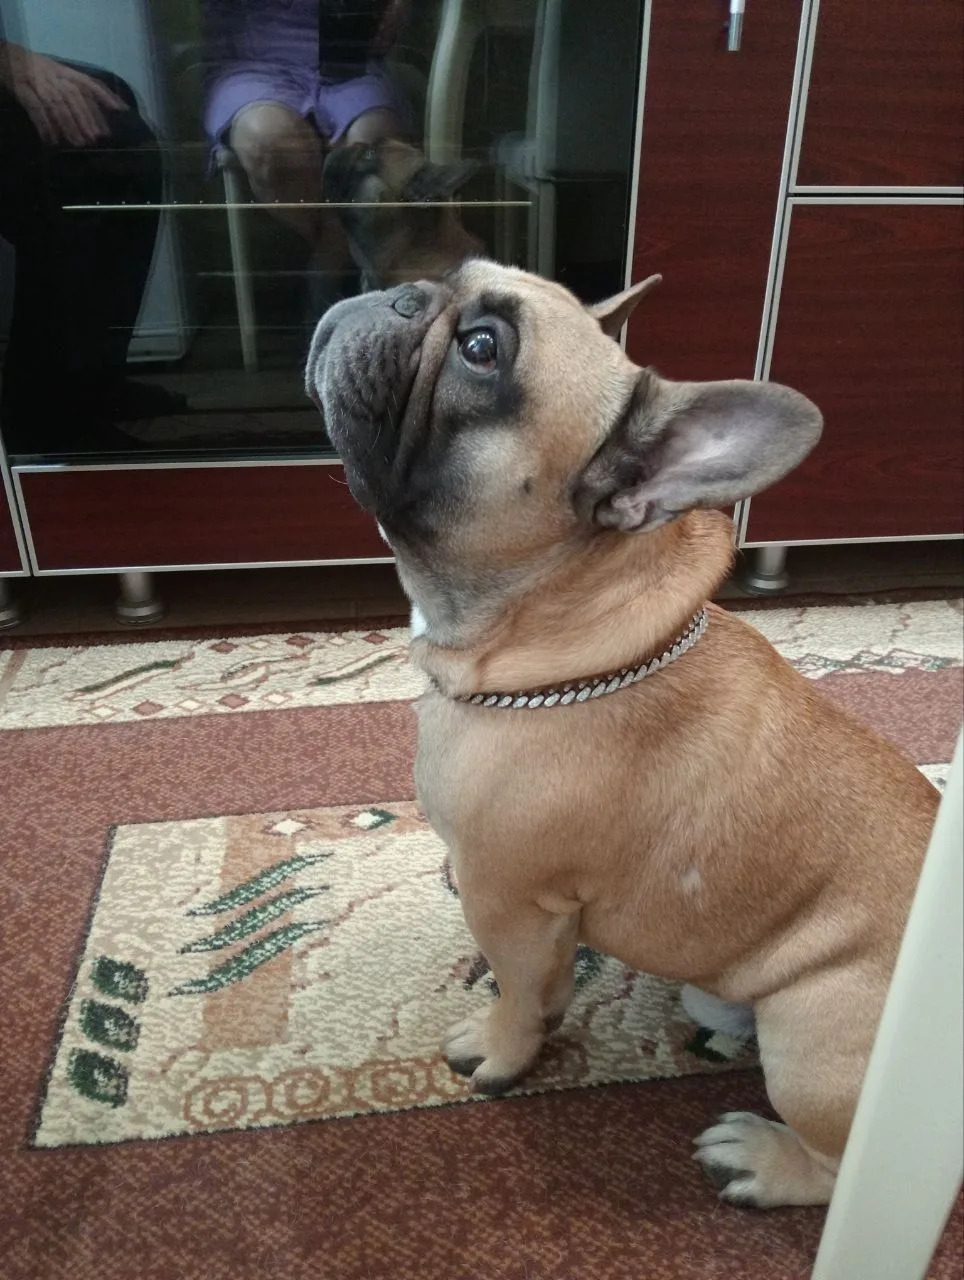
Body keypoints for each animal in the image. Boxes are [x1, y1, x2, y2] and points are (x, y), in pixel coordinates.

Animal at [305, 260, 940, 1209]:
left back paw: (760, 1160)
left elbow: (519, 991)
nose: (402, 291)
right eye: (451, 281)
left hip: (813, 1035)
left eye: (482, 349)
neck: (556, 639)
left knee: (843, 1165)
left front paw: (500, 1049)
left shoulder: (507, 899)